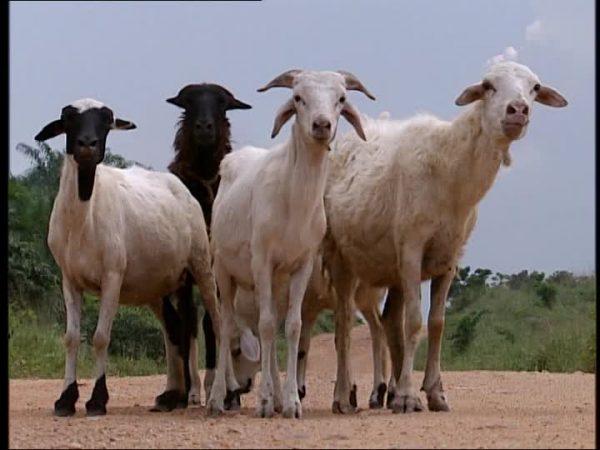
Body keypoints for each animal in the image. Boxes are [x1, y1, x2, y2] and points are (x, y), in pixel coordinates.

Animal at [34, 100, 220, 416]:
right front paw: (66, 399)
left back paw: (222, 392)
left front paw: (97, 400)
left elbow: (100, 337)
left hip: (200, 264)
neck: (84, 219)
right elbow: (71, 338)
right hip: (156, 284)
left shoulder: (112, 276)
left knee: (216, 322)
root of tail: (179, 187)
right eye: (68, 118)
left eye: (107, 121)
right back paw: (173, 397)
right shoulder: (69, 279)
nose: (87, 145)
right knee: (175, 328)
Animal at [206, 69, 376, 418]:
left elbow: (291, 328)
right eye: (298, 98)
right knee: (227, 325)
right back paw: (218, 399)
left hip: (274, 282)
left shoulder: (301, 266)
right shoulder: (261, 261)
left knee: (269, 325)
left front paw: (291, 403)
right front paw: (264, 402)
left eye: (341, 98)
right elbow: (266, 327)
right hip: (224, 274)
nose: (322, 125)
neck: (293, 199)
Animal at [324, 60, 568, 414]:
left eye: (535, 88)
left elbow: (436, 323)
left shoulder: (450, 257)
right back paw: (344, 397)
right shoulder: (412, 249)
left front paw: (434, 393)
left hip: (391, 267)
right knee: (344, 325)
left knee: (388, 320)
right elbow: (414, 322)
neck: (451, 171)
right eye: (488, 85)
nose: (518, 110)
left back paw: (390, 392)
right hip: (341, 258)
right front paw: (410, 396)